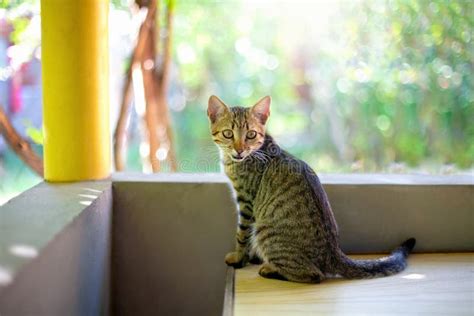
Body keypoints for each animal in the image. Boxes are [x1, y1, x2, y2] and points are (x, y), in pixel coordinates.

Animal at [207, 95, 414, 282]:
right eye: (228, 133)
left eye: (250, 134)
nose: (239, 150)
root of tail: (334, 253)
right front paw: (250, 257)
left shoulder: (247, 202)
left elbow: (242, 234)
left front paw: (239, 257)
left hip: (265, 231)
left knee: (314, 275)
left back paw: (271, 270)